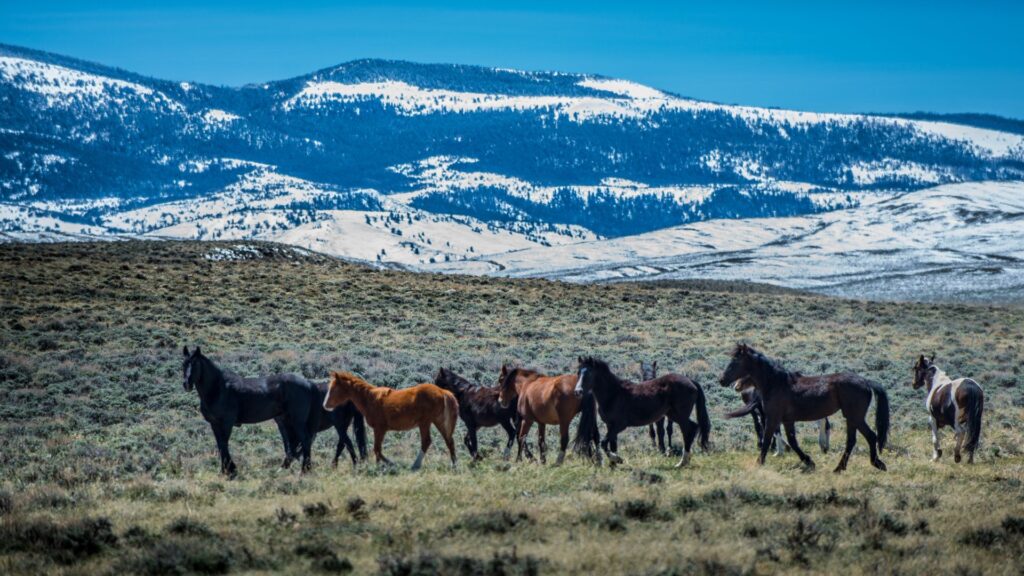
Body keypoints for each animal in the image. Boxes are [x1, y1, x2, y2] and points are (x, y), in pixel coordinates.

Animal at [182, 346, 321, 477]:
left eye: (195, 364)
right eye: (183, 364)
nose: (186, 384)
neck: (218, 388)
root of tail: (308, 383)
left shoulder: (226, 423)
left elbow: (223, 444)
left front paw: (230, 470)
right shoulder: (214, 423)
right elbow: (220, 445)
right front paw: (226, 470)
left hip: (297, 421)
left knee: (305, 440)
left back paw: (304, 470)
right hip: (284, 420)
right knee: (293, 445)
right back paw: (283, 469)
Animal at [324, 371, 458, 470]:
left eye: (334, 389)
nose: (325, 405)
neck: (370, 399)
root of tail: (442, 391)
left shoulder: (380, 429)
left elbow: (377, 449)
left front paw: (390, 464)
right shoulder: (379, 430)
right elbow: (377, 450)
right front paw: (379, 467)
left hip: (425, 423)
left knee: (427, 441)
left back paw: (415, 465)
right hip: (438, 421)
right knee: (449, 441)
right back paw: (454, 465)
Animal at [574, 357, 710, 468]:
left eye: (589, 373)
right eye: (578, 372)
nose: (578, 391)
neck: (614, 393)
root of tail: (691, 381)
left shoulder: (619, 425)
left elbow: (603, 443)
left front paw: (617, 459)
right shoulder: (610, 425)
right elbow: (612, 444)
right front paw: (613, 464)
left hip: (679, 415)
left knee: (689, 430)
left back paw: (682, 462)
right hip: (673, 414)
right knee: (692, 428)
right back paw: (684, 461)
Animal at [719, 344, 889, 473]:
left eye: (734, 362)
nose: (722, 380)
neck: (776, 383)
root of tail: (867, 382)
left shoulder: (773, 418)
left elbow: (768, 439)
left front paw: (759, 462)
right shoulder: (787, 420)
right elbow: (792, 441)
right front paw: (809, 461)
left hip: (855, 417)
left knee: (866, 437)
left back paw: (866, 465)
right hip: (852, 418)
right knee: (857, 439)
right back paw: (850, 467)